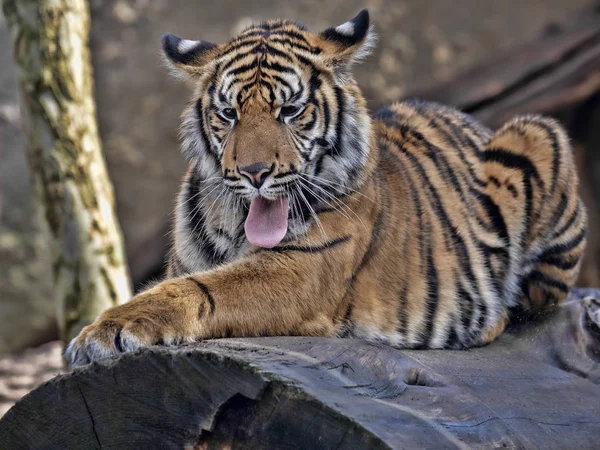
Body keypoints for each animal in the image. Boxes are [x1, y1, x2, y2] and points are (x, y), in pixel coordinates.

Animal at [64, 8, 584, 366]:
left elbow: (205, 288)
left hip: (537, 132)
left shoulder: (303, 271)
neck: (238, 224)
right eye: (228, 113)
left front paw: (105, 331)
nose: (255, 173)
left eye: (290, 111)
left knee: (527, 303)